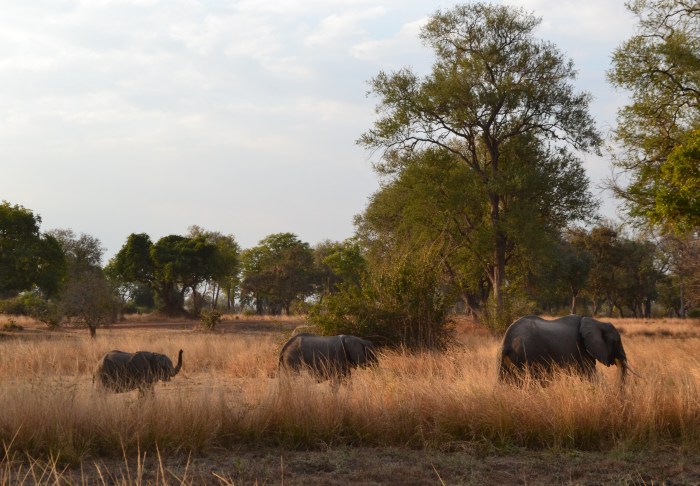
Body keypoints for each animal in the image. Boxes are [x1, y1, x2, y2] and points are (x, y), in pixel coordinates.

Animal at [498, 315, 630, 384]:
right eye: (617, 341)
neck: (596, 322)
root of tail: (506, 342)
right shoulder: (580, 350)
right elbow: (589, 375)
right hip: (527, 355)